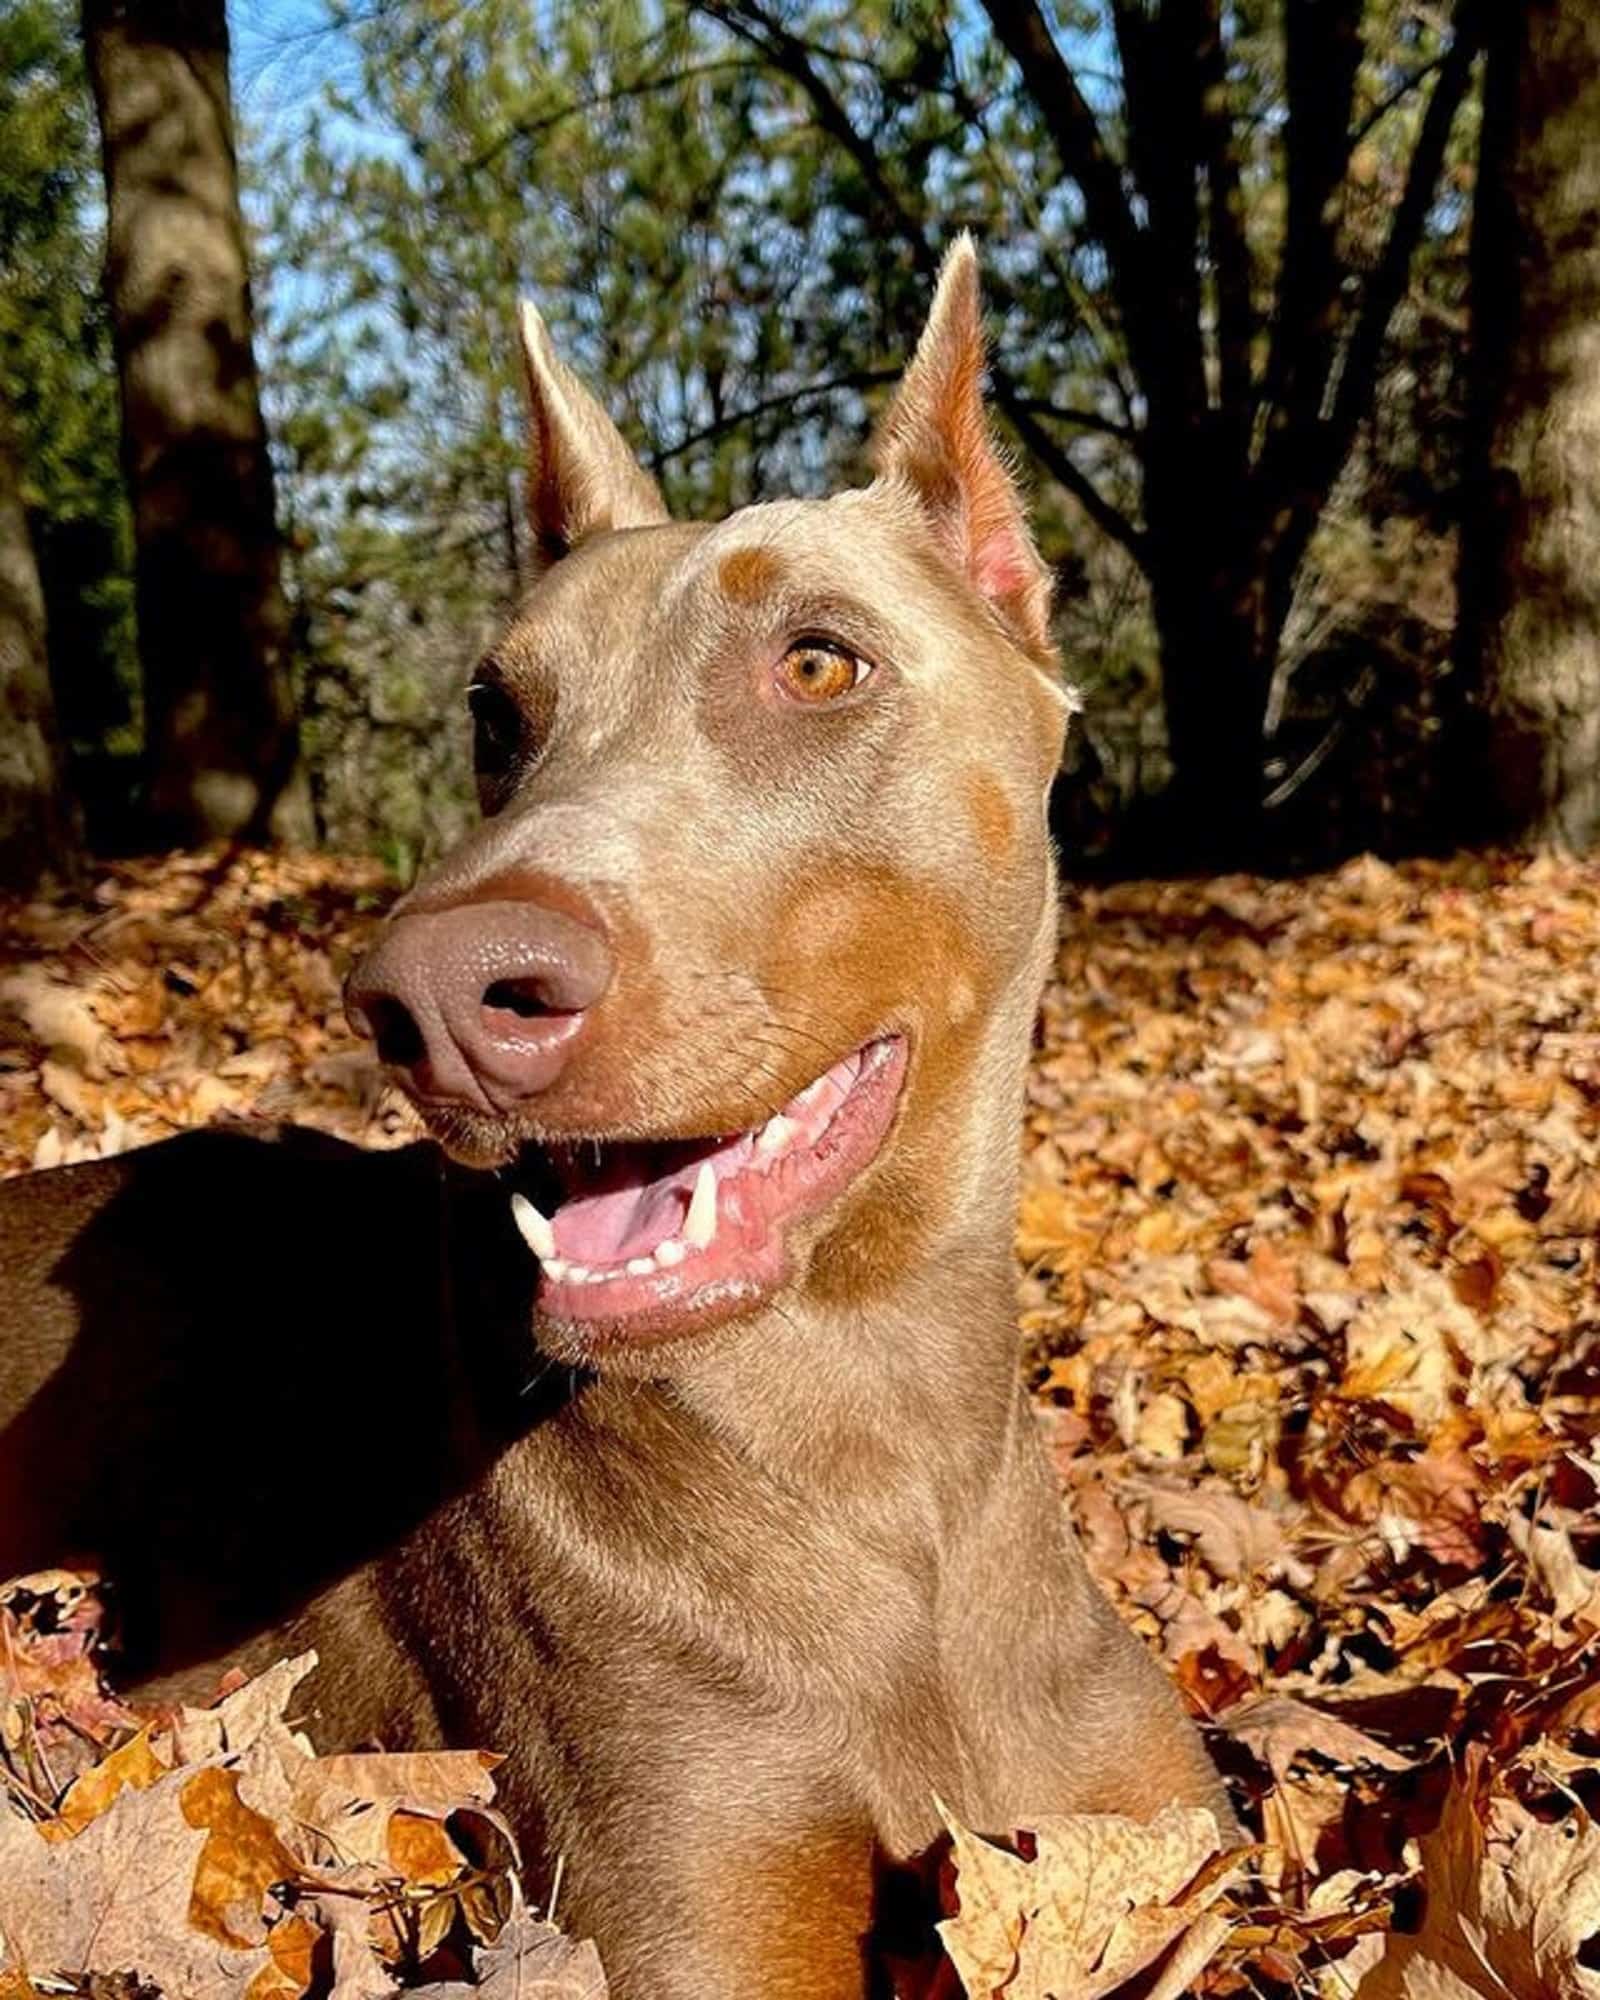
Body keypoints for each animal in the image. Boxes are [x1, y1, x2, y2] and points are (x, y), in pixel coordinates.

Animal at [0, 242, 1232, 1992]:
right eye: (493, 712)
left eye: (818, 660)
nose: (430, 998)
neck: (876, 1423)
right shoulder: (689, 1911)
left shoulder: (1174, 1845)